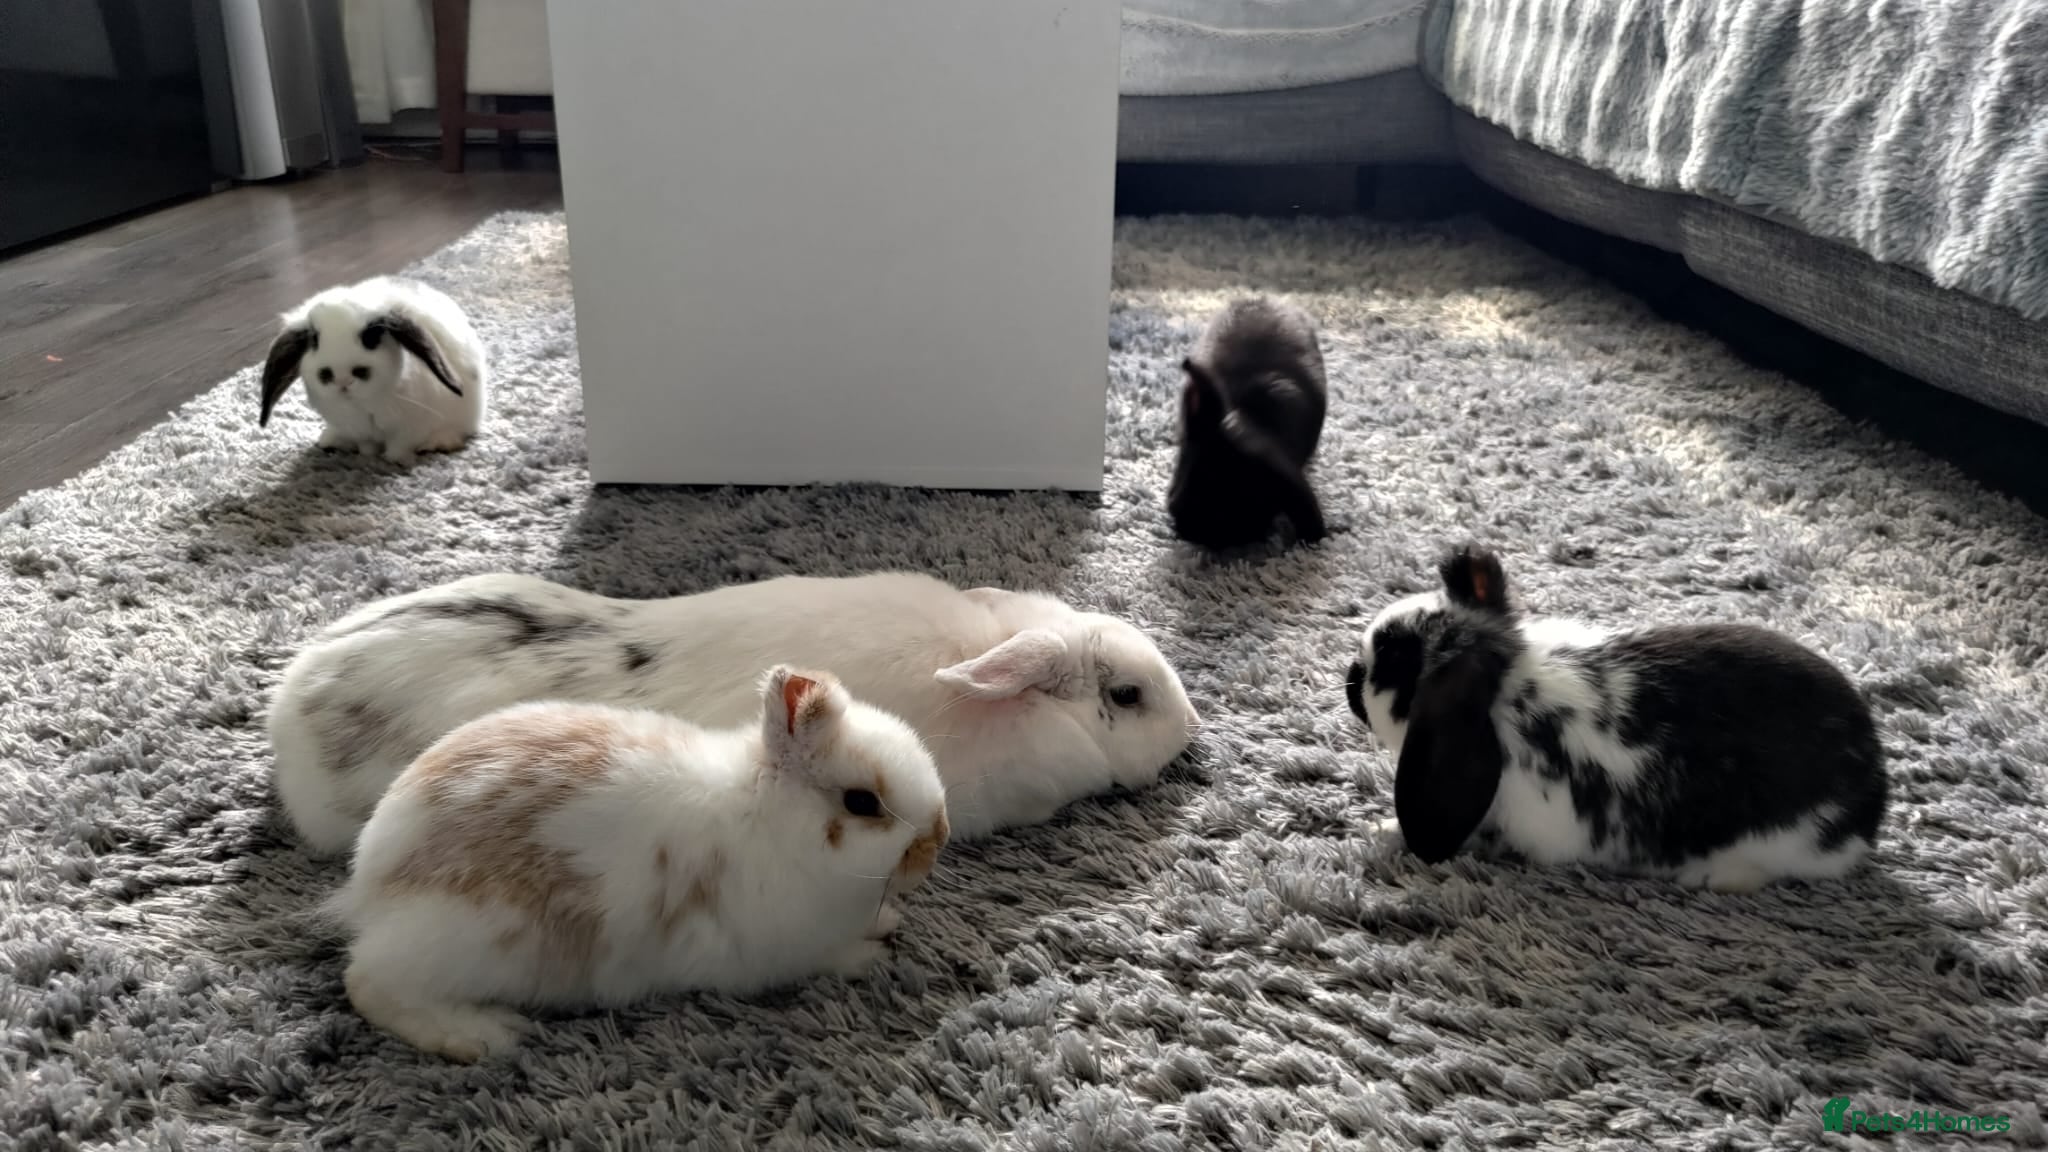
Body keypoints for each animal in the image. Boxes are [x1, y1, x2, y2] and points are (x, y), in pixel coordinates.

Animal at [258, 275, 488, 465]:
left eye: (371, 337)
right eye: (314, 340)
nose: (342, 379)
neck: (362, 404)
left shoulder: (410, 428)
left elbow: (399, 447)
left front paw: (397, 461)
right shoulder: (359, 431)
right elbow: (366, 446)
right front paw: (367, 457)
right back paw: (331, 442)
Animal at [329, 667, 950, 1062]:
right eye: (862, 803)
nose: (938, 837)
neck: (766, 816)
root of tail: (370, 885)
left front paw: (886, 921)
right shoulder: (783, 950)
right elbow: (831, 958)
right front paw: (870, 957)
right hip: (473, 943)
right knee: (367, 984)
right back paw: (483, 1036)